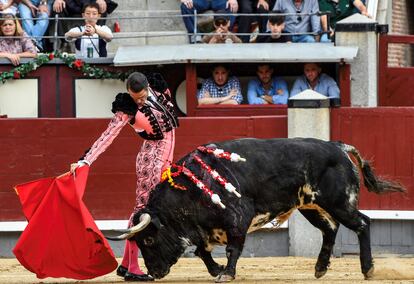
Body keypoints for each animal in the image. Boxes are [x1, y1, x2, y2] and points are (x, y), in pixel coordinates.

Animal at [107, 138, 404, 282]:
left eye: (148, 240)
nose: (154, 273)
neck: (192, 188)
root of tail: (339, 146)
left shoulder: (237, 218)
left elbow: (232, 248)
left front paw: (226, 274)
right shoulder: (204, 227)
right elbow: (202, 251)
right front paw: (216, 270)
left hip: (339, 203)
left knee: (362, 223)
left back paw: (368, 270)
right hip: (310, 205)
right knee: (330, 229)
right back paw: (320, 268)